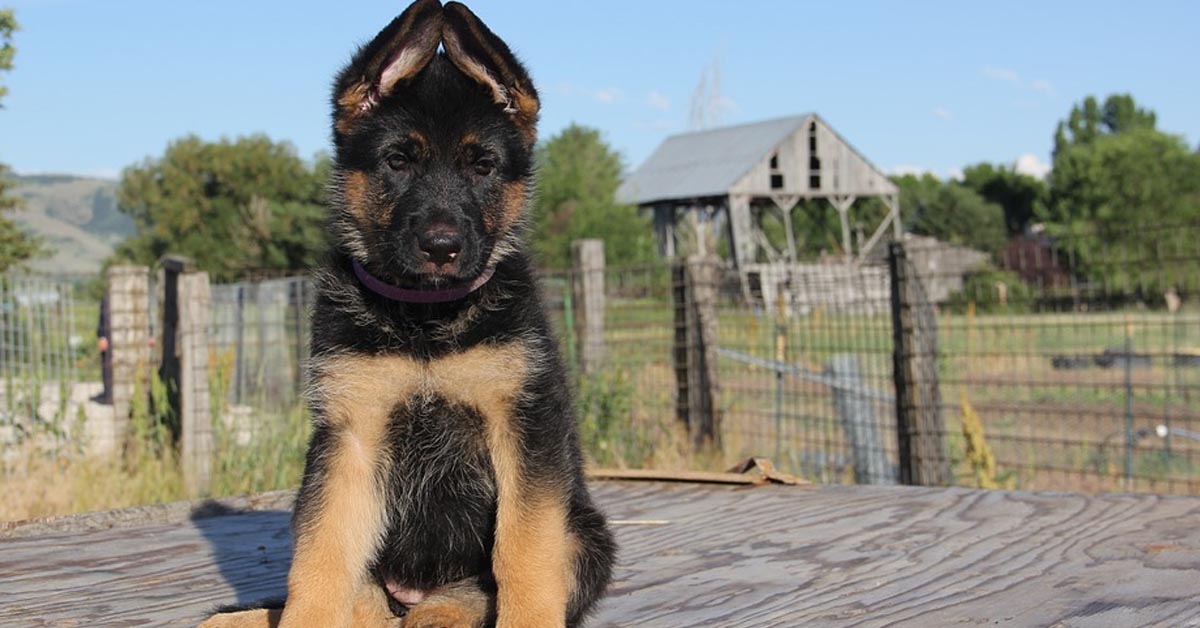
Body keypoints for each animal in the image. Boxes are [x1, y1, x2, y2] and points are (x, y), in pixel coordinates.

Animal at [201, 1, 614, 628]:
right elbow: (320, 558)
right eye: (398, 162)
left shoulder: (525, 428)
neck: (427, 319)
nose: (442, 247)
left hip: (587, 535)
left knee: (467, 595)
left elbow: (523, 551)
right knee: (360, 598)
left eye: (482, 166)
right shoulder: (350, 436)